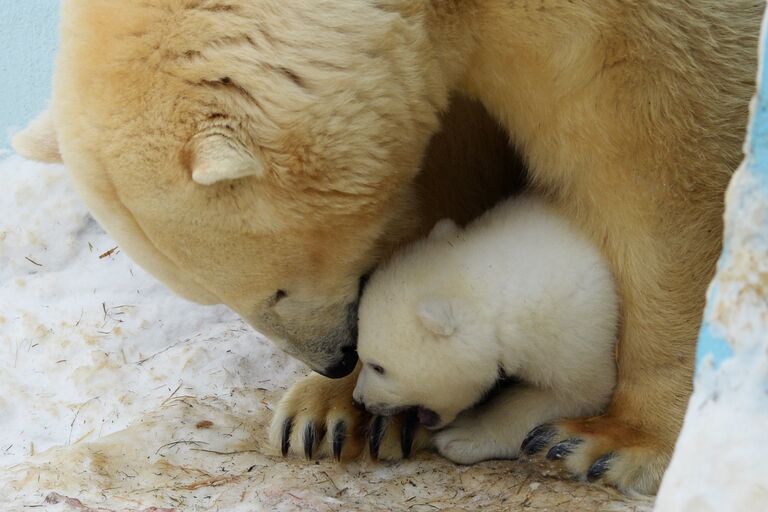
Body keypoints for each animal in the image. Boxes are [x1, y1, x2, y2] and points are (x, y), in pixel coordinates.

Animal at [354, 196, 616, 464]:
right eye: (360, 355)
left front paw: (461, 436)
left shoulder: (573, 335)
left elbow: (581, 393)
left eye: (378, 367)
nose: (359, 400)